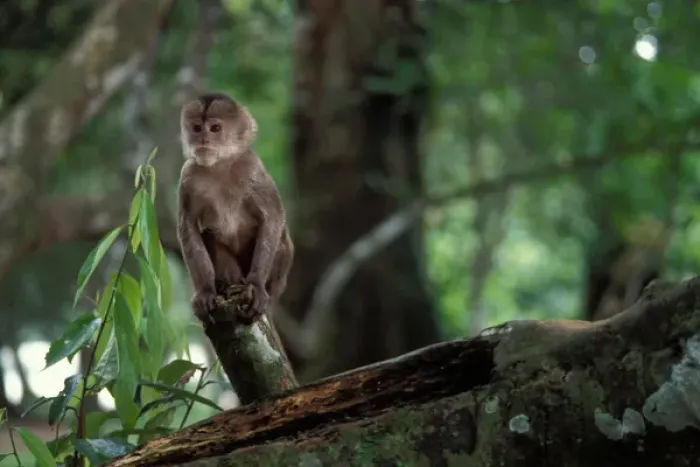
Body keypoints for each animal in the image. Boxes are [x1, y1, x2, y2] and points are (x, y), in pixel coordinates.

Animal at [176, 92, 294, 325]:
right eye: (197, 128)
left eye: (214, 128)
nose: (203, 140)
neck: (219, 166)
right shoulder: (188, 176)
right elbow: (188, 228)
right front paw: (205, 291)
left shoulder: (252, 166)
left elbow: (273, 218)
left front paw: (256, 286)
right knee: (209, 236)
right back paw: (225, 284)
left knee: (283, 242)